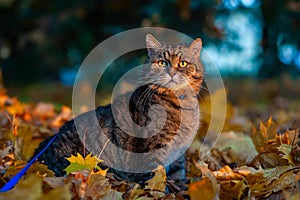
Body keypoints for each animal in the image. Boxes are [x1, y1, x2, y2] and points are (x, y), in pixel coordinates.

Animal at [34, 34, 205, 189]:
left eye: (183, 63)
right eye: (163, 62)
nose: (171, 72)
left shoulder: (178, 155)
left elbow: (178, 177)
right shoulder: (151, 152)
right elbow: (156, 181)